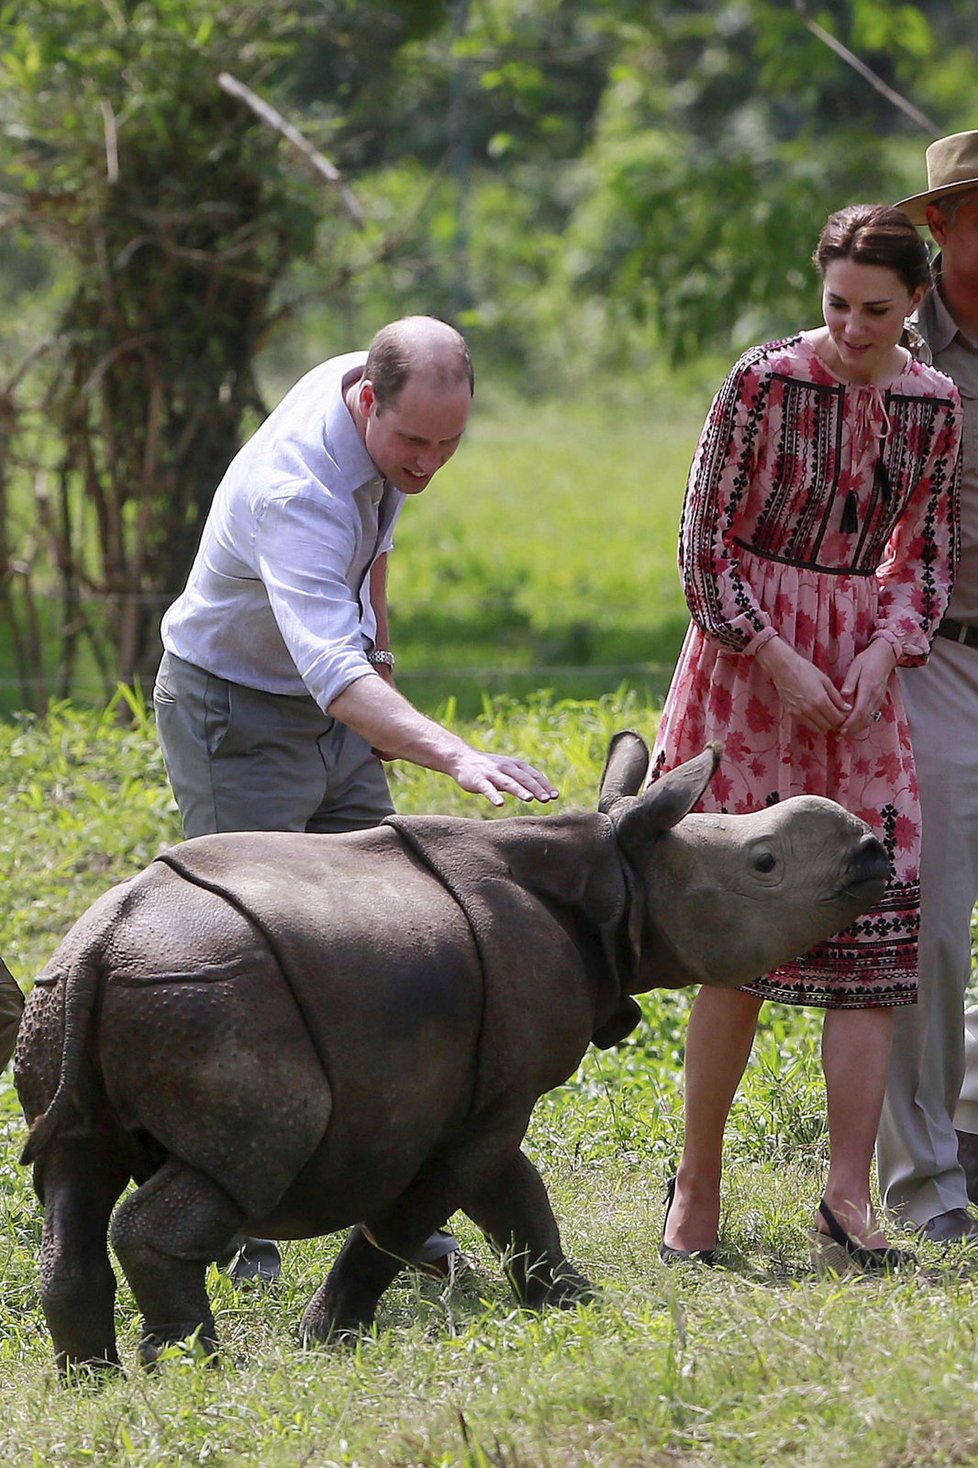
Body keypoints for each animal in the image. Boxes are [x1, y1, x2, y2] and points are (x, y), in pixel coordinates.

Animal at [13, 739, 881, 1368]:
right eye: (764, 864)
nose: (874, 847)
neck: (619, 877)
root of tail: (103, 945)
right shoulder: (493, 1098)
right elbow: (412, 1217)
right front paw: (325, 1341)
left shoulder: (488, 1090)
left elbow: (518, 1200)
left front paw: (574, 1303)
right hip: (213, 998)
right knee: (246, 1159)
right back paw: (195, 1369)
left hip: (67, 999)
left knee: (73, 1173)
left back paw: (96, 1379)